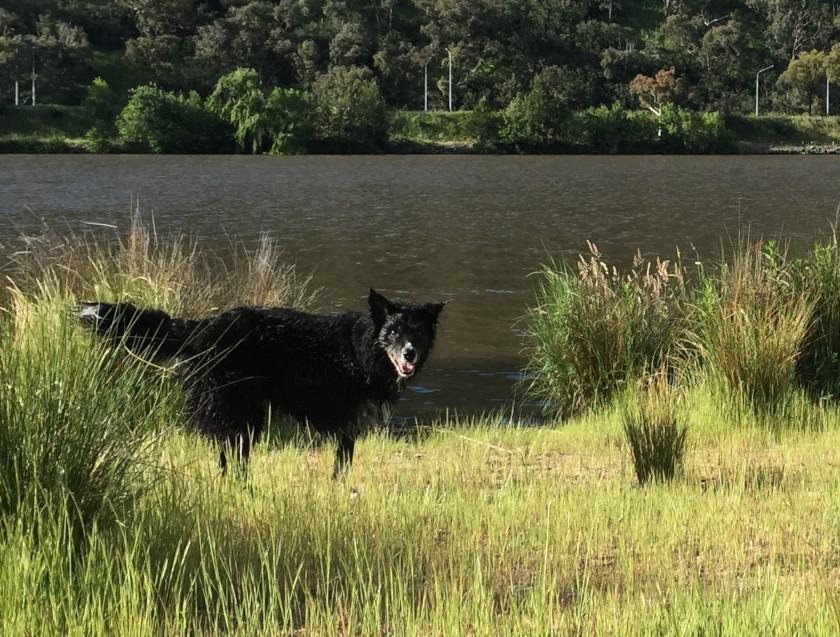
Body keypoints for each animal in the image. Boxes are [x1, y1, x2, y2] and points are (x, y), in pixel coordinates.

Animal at [79, 288, 446, 476]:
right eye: (394, 332)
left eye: (417, 333)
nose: (410, 353)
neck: (365, 348)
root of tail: (204, 327)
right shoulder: (348, 420)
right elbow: (341, 468)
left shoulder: (350, 425)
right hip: (239, 410)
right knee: (231, 459)